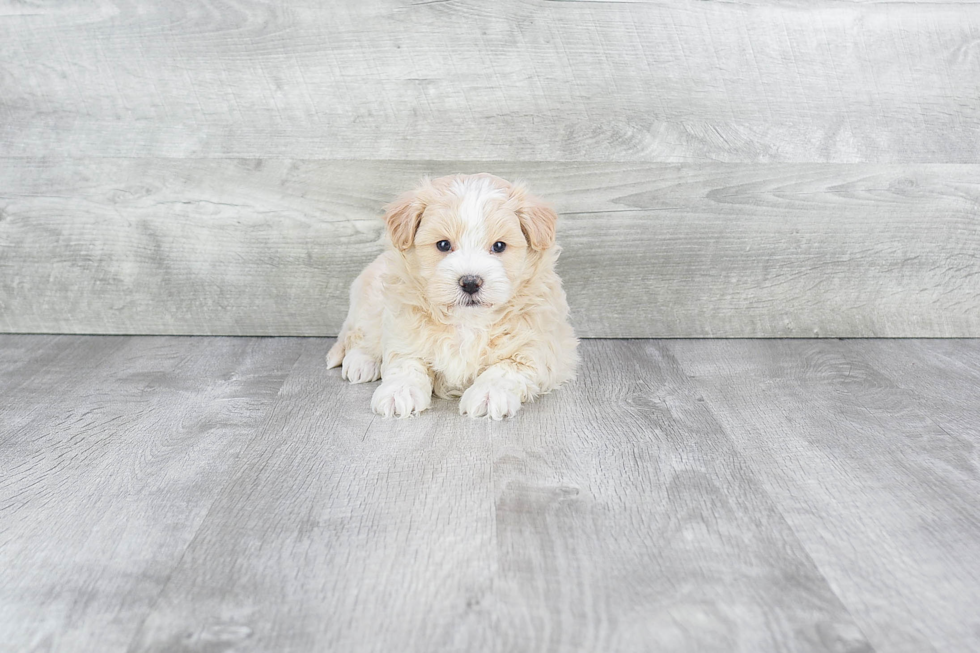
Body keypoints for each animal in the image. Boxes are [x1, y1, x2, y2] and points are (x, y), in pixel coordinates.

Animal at [326, 173, 580, 418]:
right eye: (443, 245)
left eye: (499, 246)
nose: (470, 282)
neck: (467, 321)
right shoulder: (404, 330)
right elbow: (406, 363)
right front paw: (399, 391)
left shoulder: (538, 347)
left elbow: (507, 368)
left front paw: (489, 394)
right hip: (371, 300)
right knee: (360, 334)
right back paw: (362, 362)